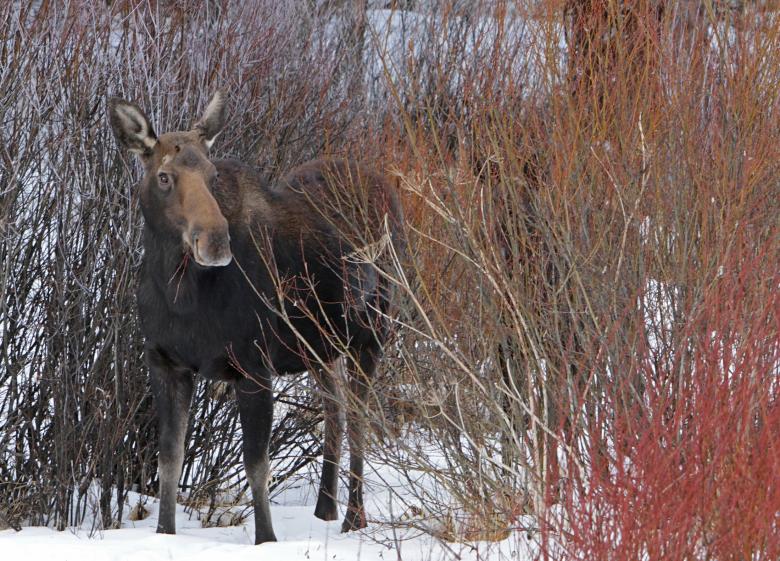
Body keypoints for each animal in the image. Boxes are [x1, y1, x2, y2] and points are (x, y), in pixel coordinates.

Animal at [108, 91, 403, 544]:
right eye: (164, 176)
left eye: (213, 175)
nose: (215, 241)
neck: (181, 294)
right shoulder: (165, 362)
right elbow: (169, 460)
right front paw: (164, 533)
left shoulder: (253, 365)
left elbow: (256, 465)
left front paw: (267, 539)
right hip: (320, 347)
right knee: (334, 410)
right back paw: (325, 509)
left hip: (370, 334)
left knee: (358, 418)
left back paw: (354, 517)